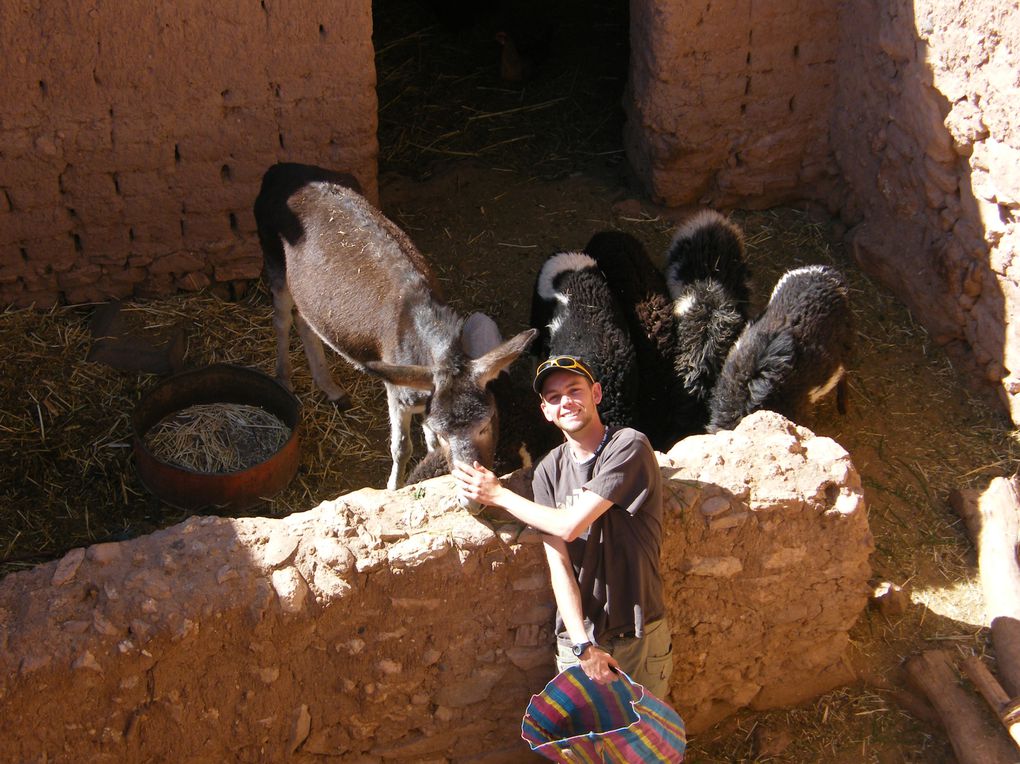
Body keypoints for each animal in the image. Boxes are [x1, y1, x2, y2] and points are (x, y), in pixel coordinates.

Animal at [252, 164, 534, 491]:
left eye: (487, 422)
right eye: (446, 432)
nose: (475, 476)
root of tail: (278, 169)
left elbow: (426, 443)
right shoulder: (397, 391)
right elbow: (401, 446)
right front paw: (394, 487)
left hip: (309, 294)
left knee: (306, 321)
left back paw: (332, 390)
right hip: (272, 256)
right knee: (282, 318)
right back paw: (283, 379)